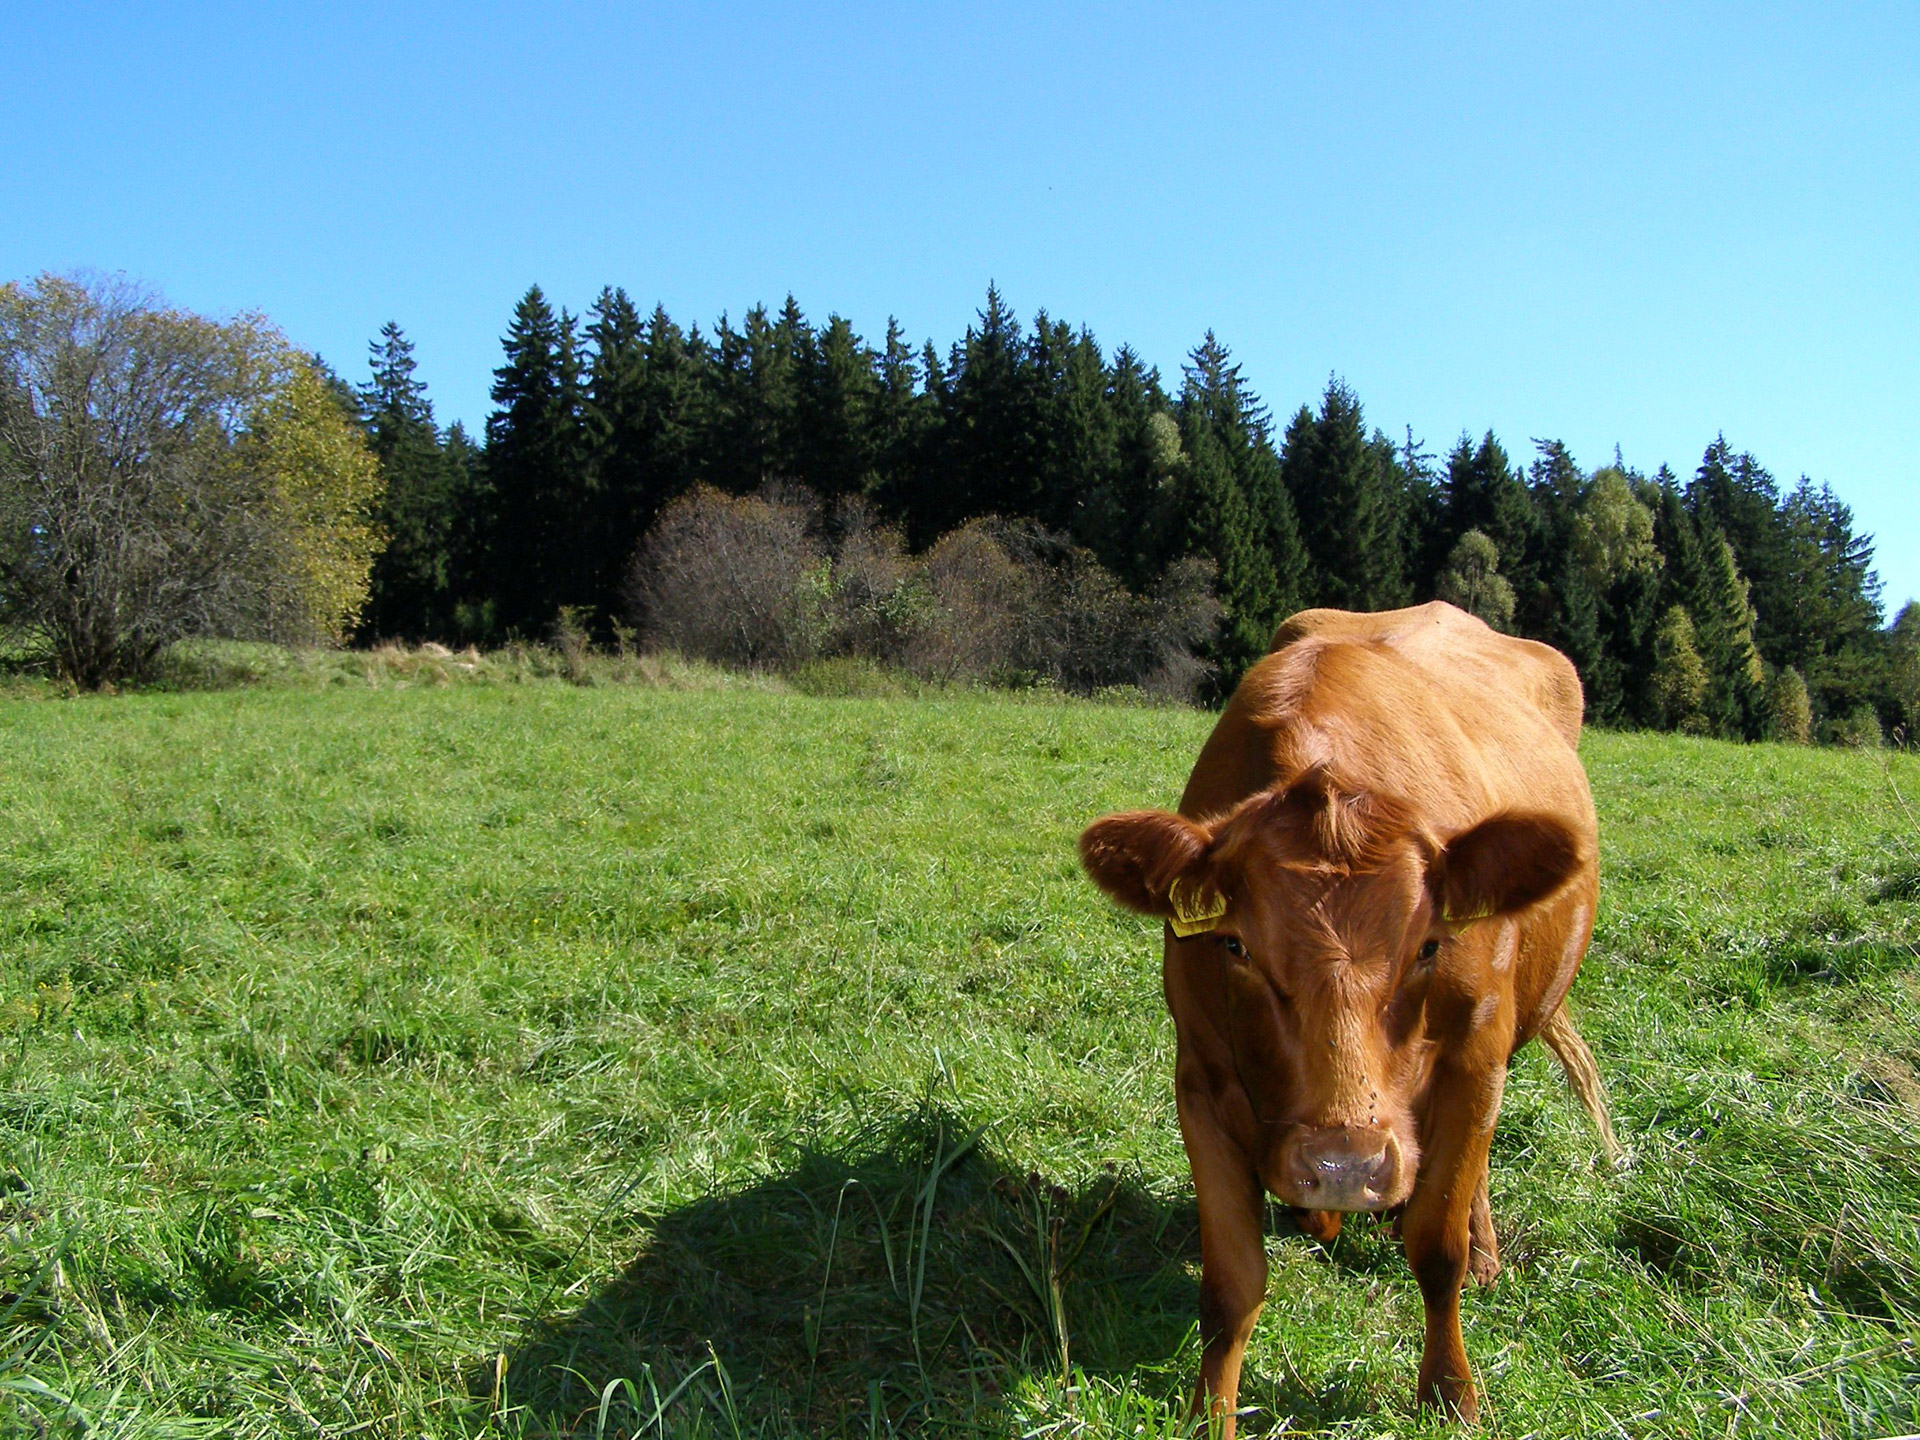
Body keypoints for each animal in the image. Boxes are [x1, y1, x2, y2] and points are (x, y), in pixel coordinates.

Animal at [1090, 606, 1612, 1436]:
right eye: (1235, 944)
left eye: (1430, 944)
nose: (1346, 1164)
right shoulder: (1201, 1076)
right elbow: (1231, 1283)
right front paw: (1211, 1414)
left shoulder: (1475, 1056)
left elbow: (1437, 1247)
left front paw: (1451, 1394)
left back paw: (1480, 1246)